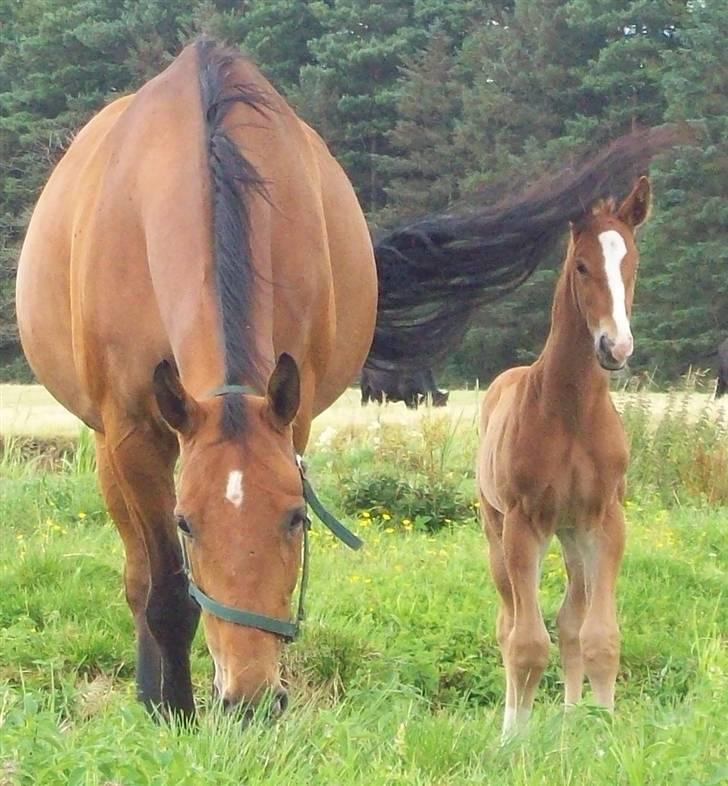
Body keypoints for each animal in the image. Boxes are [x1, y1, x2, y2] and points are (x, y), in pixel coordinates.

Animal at [474, 176, 652, 736]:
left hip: (571, 534)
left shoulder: (605, 519)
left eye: (631, 260)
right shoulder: (524, 523)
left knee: (571, 621)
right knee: (508, 623)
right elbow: (527, 643)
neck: (572, 412)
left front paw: (602, 733)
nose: (616, 347)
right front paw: (514, 740)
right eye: (581, 265)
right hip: (496, 529)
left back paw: (573, 720)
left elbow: (599, 636)